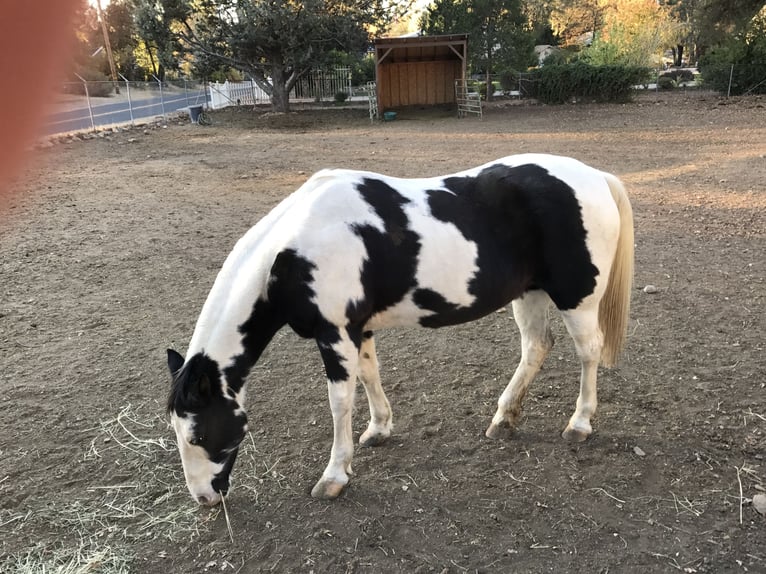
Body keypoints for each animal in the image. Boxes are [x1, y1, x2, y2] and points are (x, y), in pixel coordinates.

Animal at [166, 153, 634, 506]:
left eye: (199, 433)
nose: (205, 498)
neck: (295, 249)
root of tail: (596, 177)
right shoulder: (358, 330)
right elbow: (369, 375)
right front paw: (378, 429)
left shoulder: (335, 334)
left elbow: (340, 402)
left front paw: (334, 474)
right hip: (529, 293)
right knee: (537, 346)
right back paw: (504, 419)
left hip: (576, 299)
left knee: (588, 351)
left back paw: (579, 423)